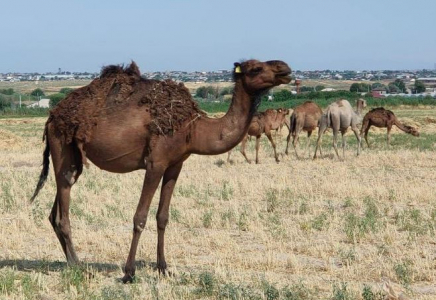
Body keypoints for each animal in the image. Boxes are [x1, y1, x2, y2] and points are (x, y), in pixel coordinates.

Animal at [29, 59, 290, 284]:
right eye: (256, 68)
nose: (285, 68)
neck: (194, 128)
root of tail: (51, 117)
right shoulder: (156, 162)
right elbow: (140, 217)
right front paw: (129, 273)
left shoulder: (175, 164)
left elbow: (162, 217)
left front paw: (164, 268)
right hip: (61, 146)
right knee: (63, 212)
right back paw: (79, 266)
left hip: (72, 158)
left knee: (56, 208)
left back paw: (72, 262)